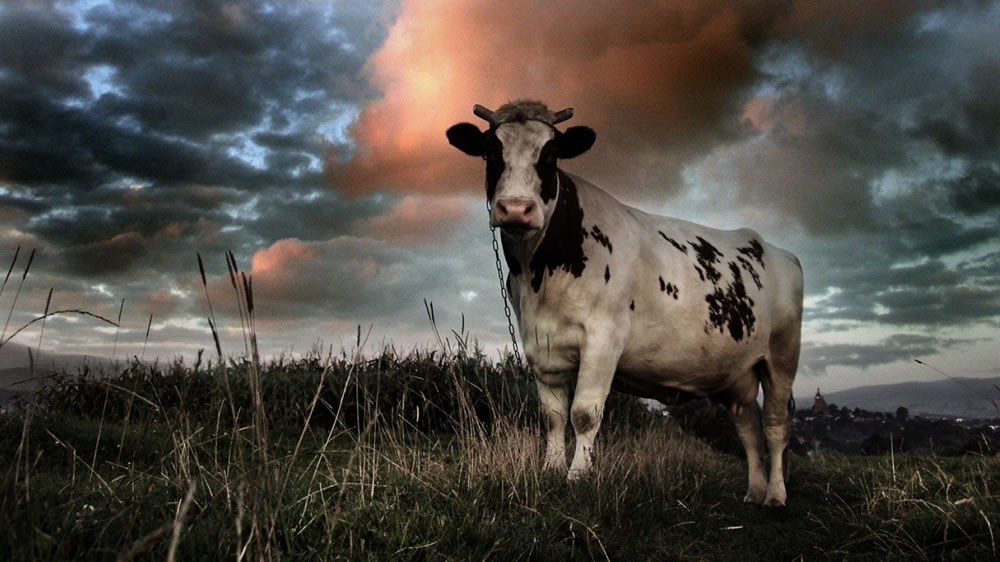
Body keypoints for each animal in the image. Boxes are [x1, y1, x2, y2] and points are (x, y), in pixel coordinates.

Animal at [446, 100, 804, 508]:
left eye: (550, 155)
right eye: (491, 152)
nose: (516, 209)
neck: (539, 274)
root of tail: (777, 251)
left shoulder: (604, 337)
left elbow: (584, 413)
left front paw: (577, 476)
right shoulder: (541, 344)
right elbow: (552, 416)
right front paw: (551, 470)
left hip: (781, 356)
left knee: (775, 427)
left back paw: (775, 495)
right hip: (736, 373)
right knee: (749, 429)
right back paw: (754, 492)